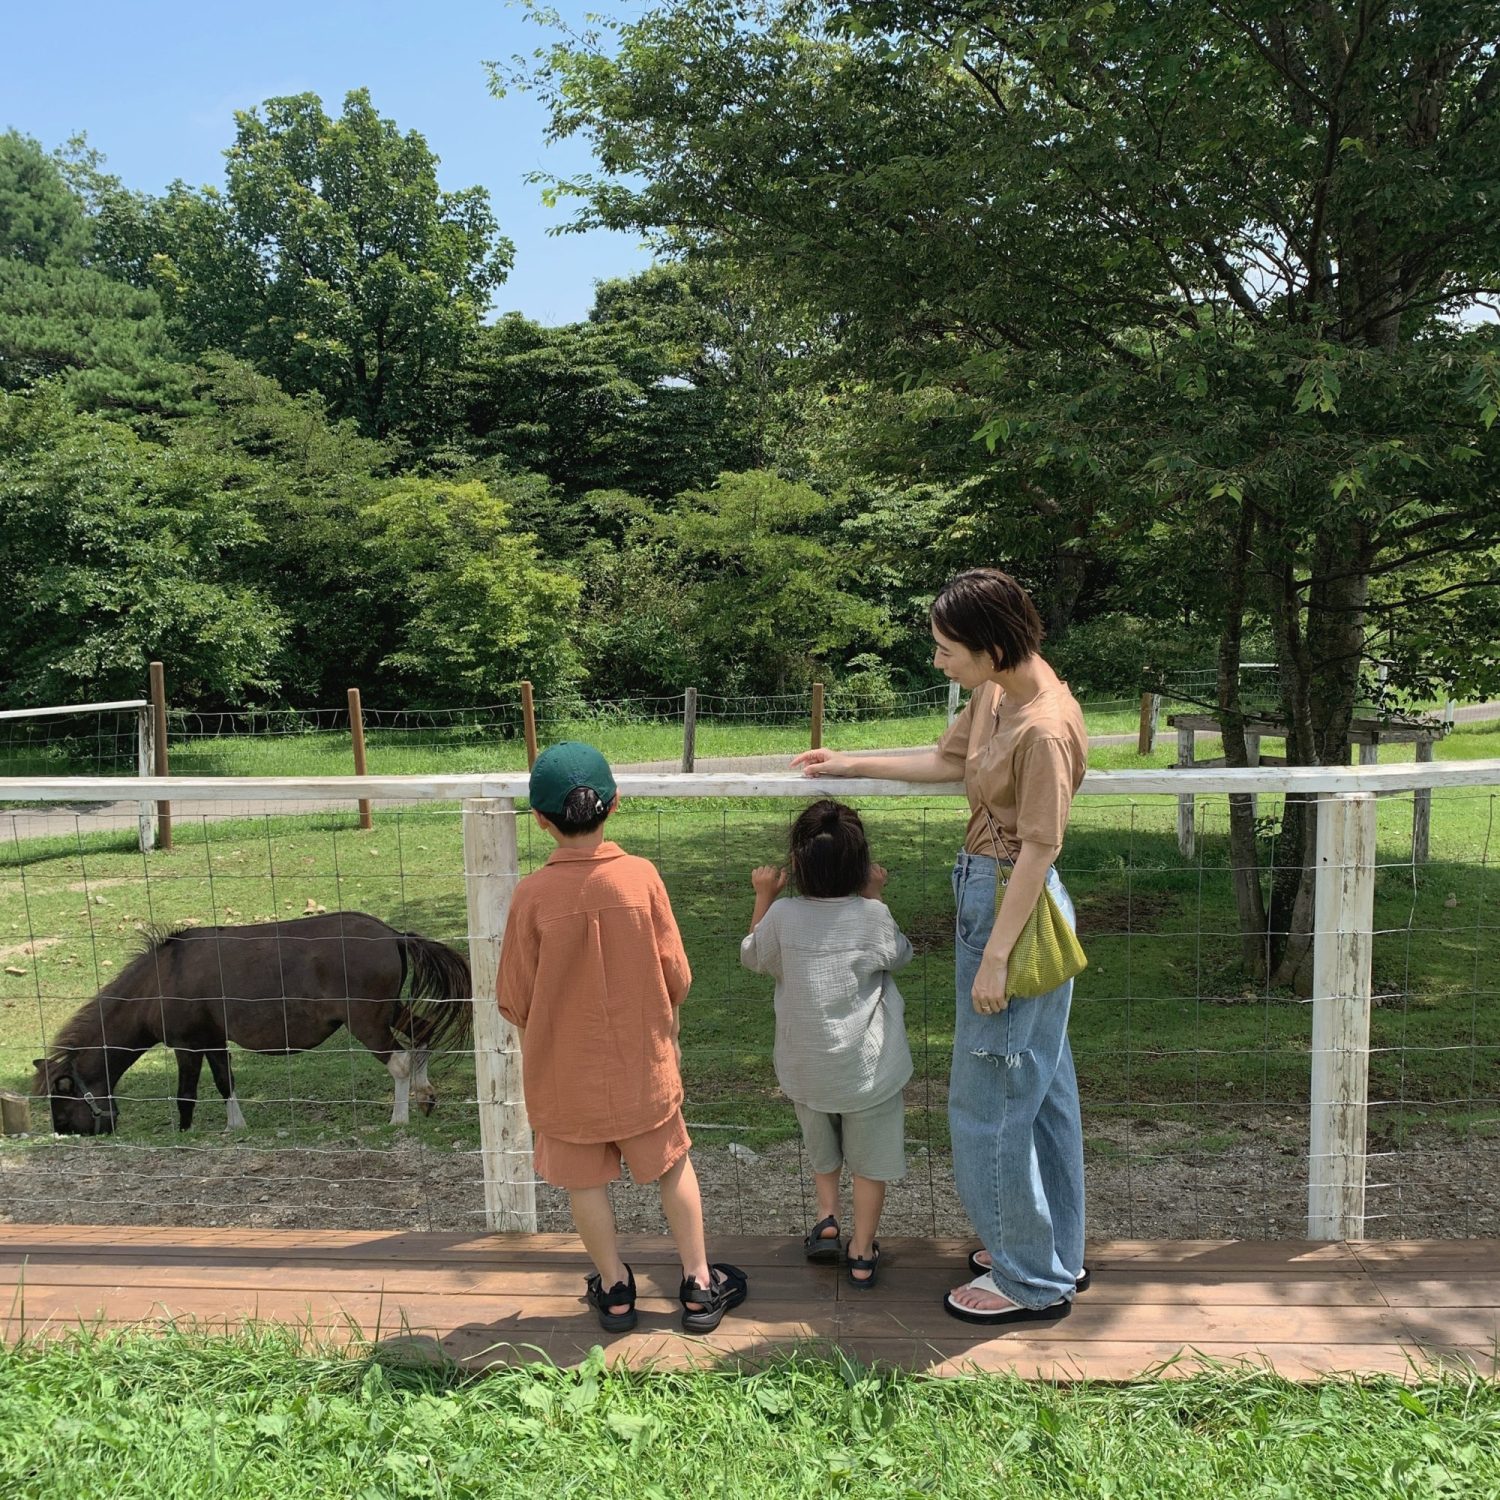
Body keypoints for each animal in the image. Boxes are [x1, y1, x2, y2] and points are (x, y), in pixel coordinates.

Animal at [30, 912, 474, 1134]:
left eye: (61, 1102)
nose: (64, 1131)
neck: (162, 978)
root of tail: (393, 934)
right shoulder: (212, 1042)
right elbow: (225, 1082)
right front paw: (236, 1126)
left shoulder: (187, 1045)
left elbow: (187, 1093)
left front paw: (184, 1132)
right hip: (390, 1010)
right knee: (424, 1035)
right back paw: (425, 1097)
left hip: (367, 1022)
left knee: (399, 1061)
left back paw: (399, 1117)